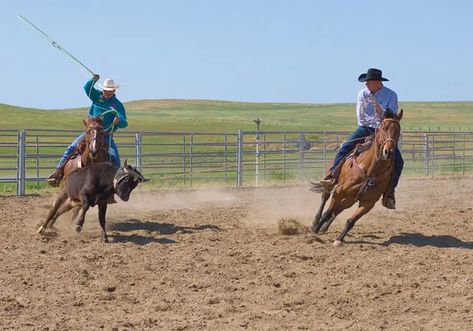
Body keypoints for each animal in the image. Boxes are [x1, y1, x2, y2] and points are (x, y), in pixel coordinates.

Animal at [310, 109, 402, 246]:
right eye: (383, 128)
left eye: (398, 131)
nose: (388, 152)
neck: (370, 171)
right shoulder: (339, 192)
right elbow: (327, 213)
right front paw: (315, 230)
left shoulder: (368, 203)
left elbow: (350, 221)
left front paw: (339, 239)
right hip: (332, 185)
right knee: (325, 198)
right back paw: (316, 222)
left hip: (351, 199)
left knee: (338, 210)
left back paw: (324, 227)